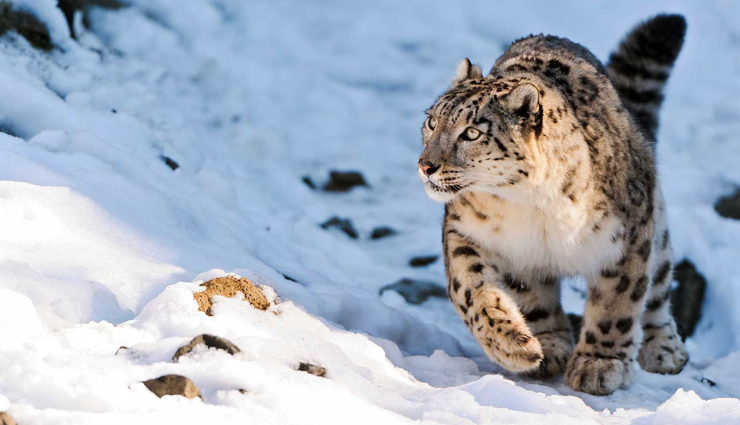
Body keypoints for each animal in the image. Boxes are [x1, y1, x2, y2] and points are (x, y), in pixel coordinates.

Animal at [417, 14, 689, 395]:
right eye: (432, 121)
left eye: (472, 133)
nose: (426, 165)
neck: (530, 207)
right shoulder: (468, 233)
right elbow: (470, 291)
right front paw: (516, 346)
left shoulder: (627, 239)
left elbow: (616, 303)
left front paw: (598, 365)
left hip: (655, 226)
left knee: (659, 289)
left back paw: (664, 349)